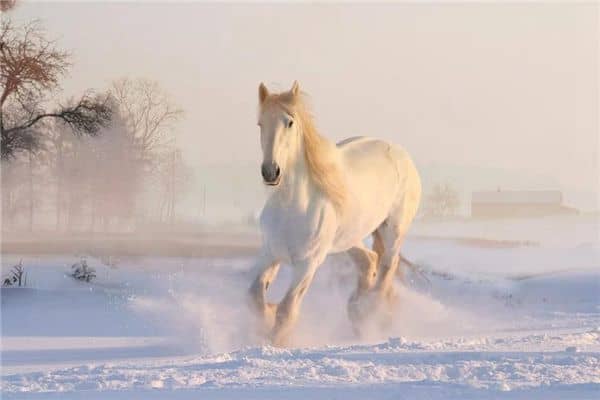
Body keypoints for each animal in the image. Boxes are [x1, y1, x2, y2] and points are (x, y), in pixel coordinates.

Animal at [248, 82, 422, 346]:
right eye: (260, 123)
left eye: (290, 122)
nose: (270, 172)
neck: (293, 206)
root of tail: (401, 154)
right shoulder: (270, 253)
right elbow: (255, 297)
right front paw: (266, 317)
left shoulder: (308, 263)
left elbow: (286, 310)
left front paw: (275, 341)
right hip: (349, 238)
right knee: (369, 261)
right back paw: (357, 311)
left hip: (393, 231)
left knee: (386, 269)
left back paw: (368, 313)